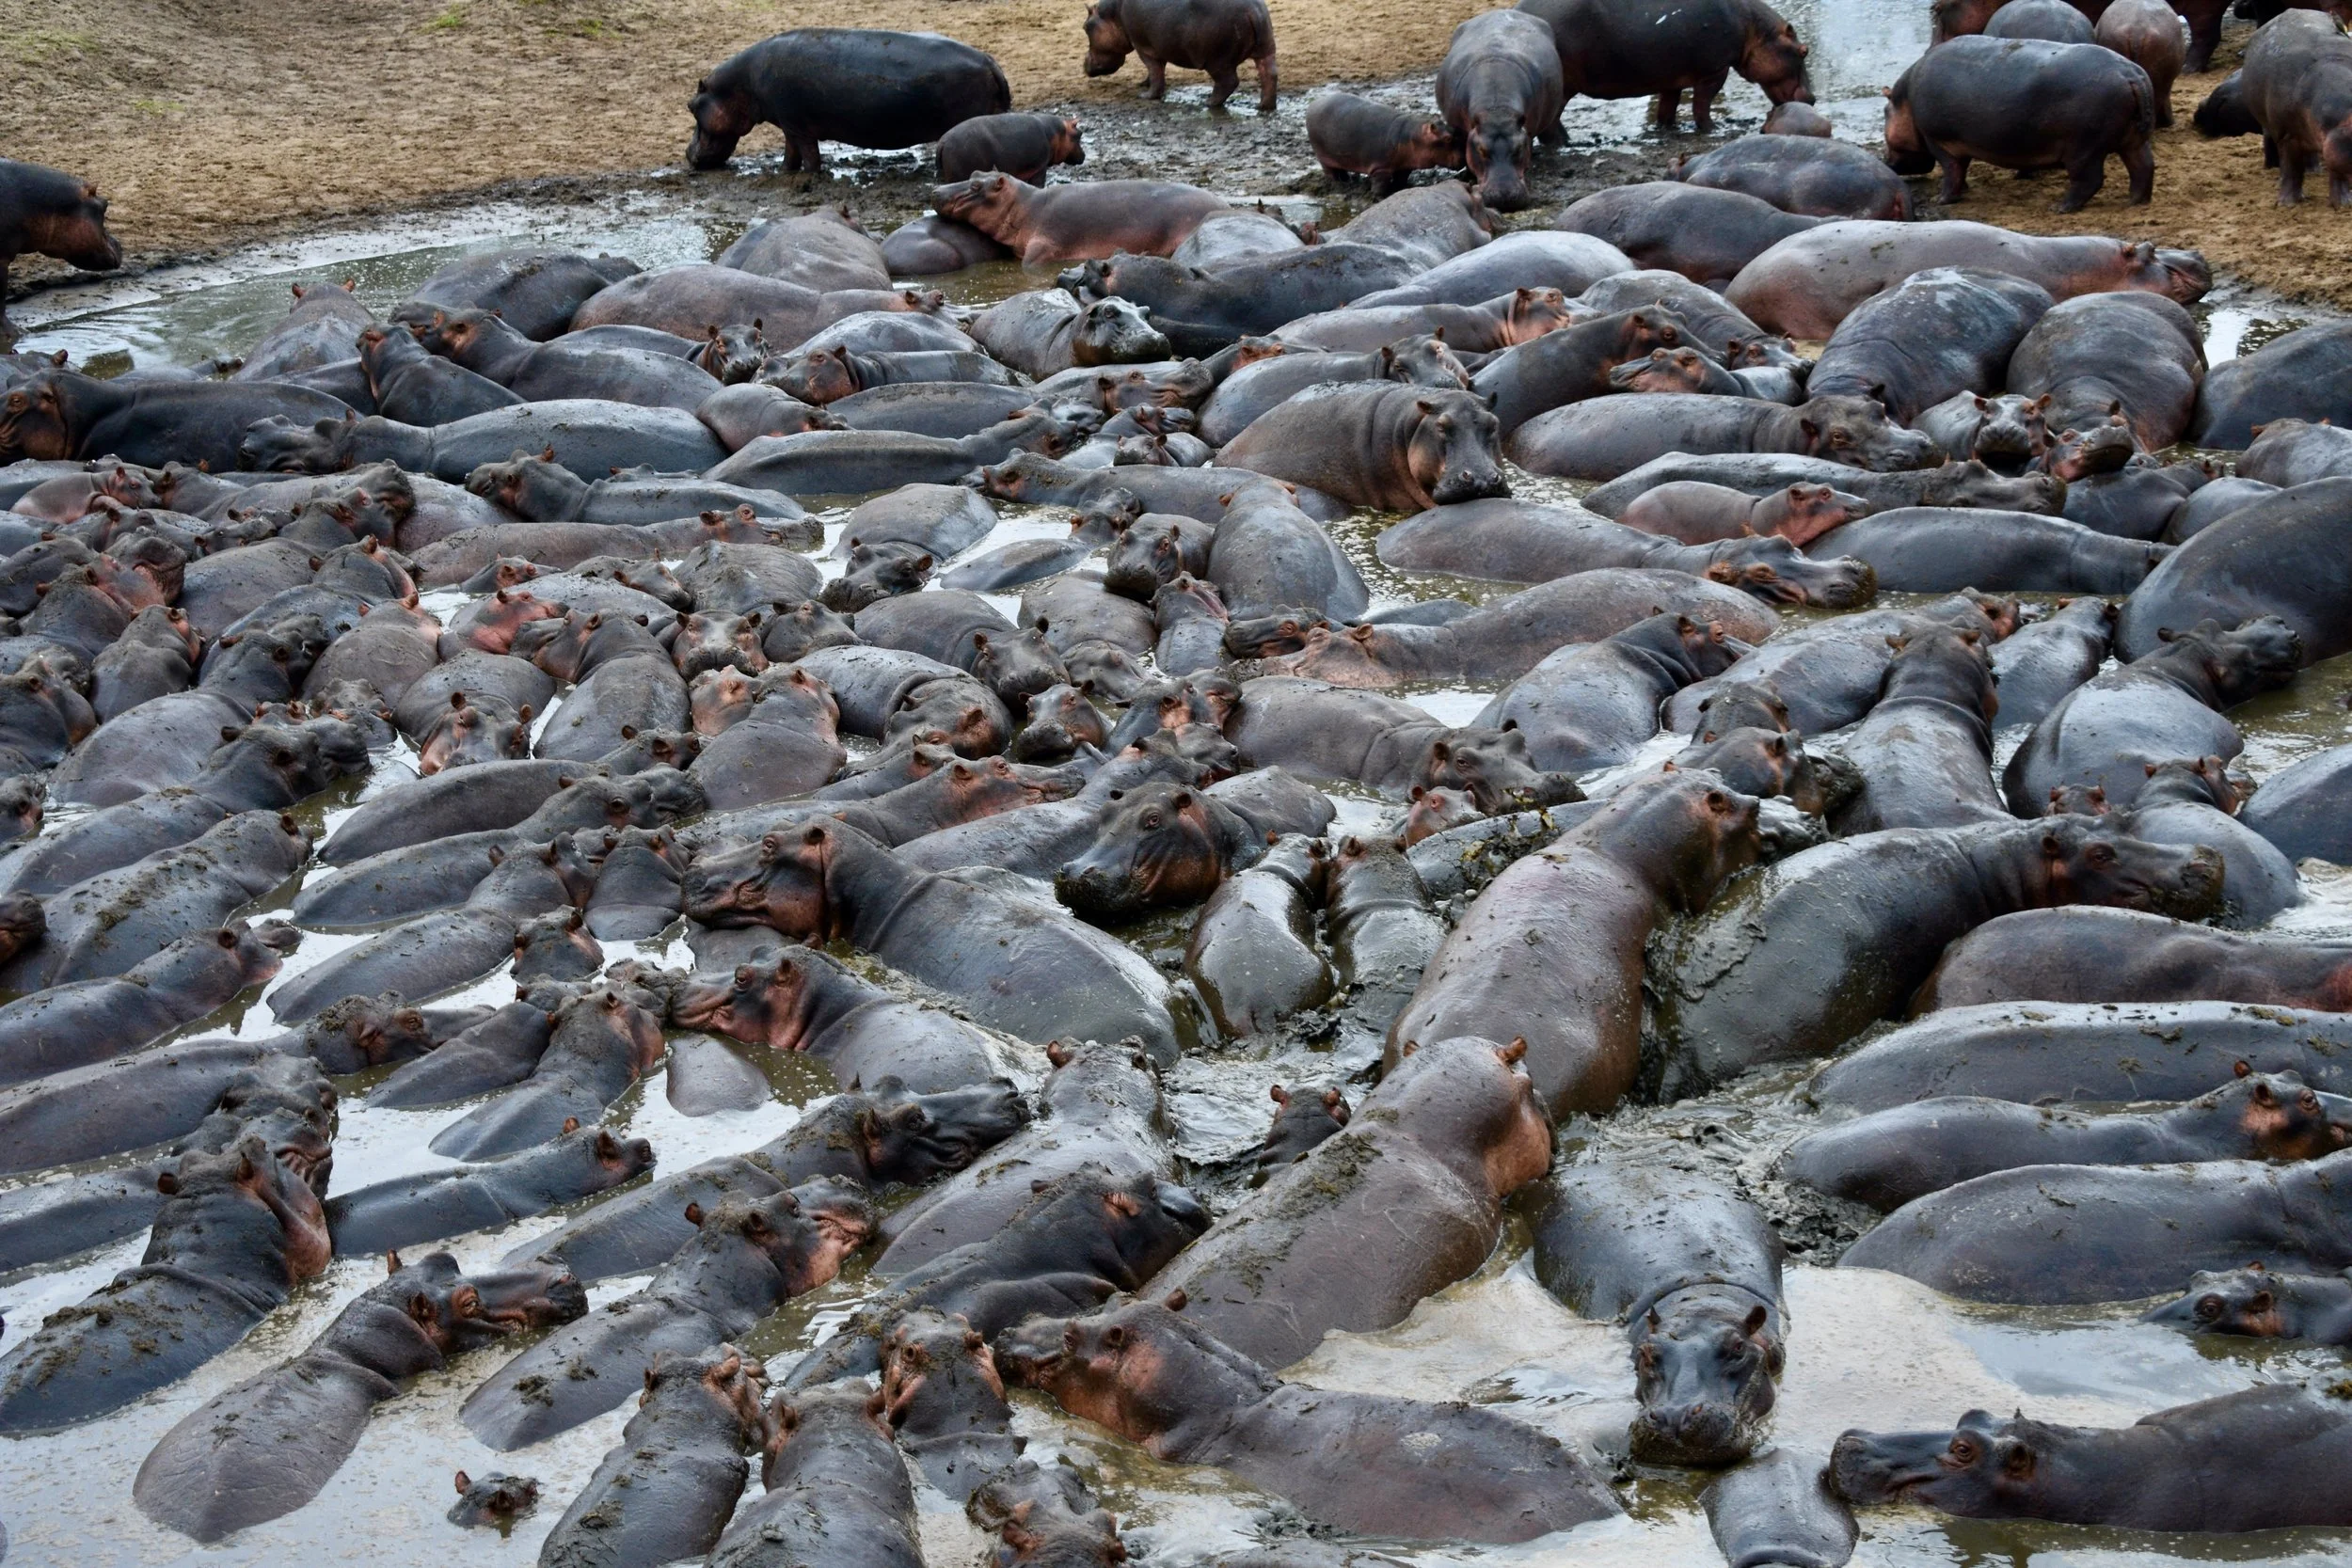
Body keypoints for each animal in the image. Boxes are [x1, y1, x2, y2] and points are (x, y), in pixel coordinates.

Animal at [685, 28, 1011, 172]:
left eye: (691, 106)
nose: (688, 153)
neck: (740, 85)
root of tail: (990, 62)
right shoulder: (789, 125)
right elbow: (791, 153)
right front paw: (784, 173)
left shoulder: (796, 125)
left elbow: (808, 155)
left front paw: (808, 176)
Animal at [934, 174, 1228, 265]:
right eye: (974, 173)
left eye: (975, 186)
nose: (936, 190)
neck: (1024, 205)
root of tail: (1223, 205)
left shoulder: (1044, 244)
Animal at [1083, 0, 1278, 111]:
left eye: (1085, 27)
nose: (1084, 63)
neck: (1112, 13)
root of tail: (1253, 10)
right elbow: (1156, 71)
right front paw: (1142, 84)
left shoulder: (1144, 47)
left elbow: (1155, 70)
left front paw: (1146, 96)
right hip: (1266, 50)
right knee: (1269, 76)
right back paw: (1264, 107)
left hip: (1218, 61)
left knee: (1228, 82)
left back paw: (1208, 103)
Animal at [1306, 93, 1462, 192]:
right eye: (1447, 138)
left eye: (1453, 129)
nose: (1463, 160)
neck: (1413, 135)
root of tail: (1313, 103)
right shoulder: (1380, 168)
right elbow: (1380, 185)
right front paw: (1379, 197)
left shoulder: (1405, 166)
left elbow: (1401, 179)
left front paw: (1399, 188)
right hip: (1323, 157)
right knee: (1331, 172)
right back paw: (1340, 185)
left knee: (1341, 169)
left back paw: (1348, 181)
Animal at [1518, 0, 1813, 132]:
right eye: (1804, 51)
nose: (1813, 98)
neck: (1754, 28)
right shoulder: (1715, 71)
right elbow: (1702, 105)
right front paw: (1712, 128)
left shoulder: (1672, 81)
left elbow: (1667, 109)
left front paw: (1667, 129)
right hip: (1563, 88)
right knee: (1550, 125)